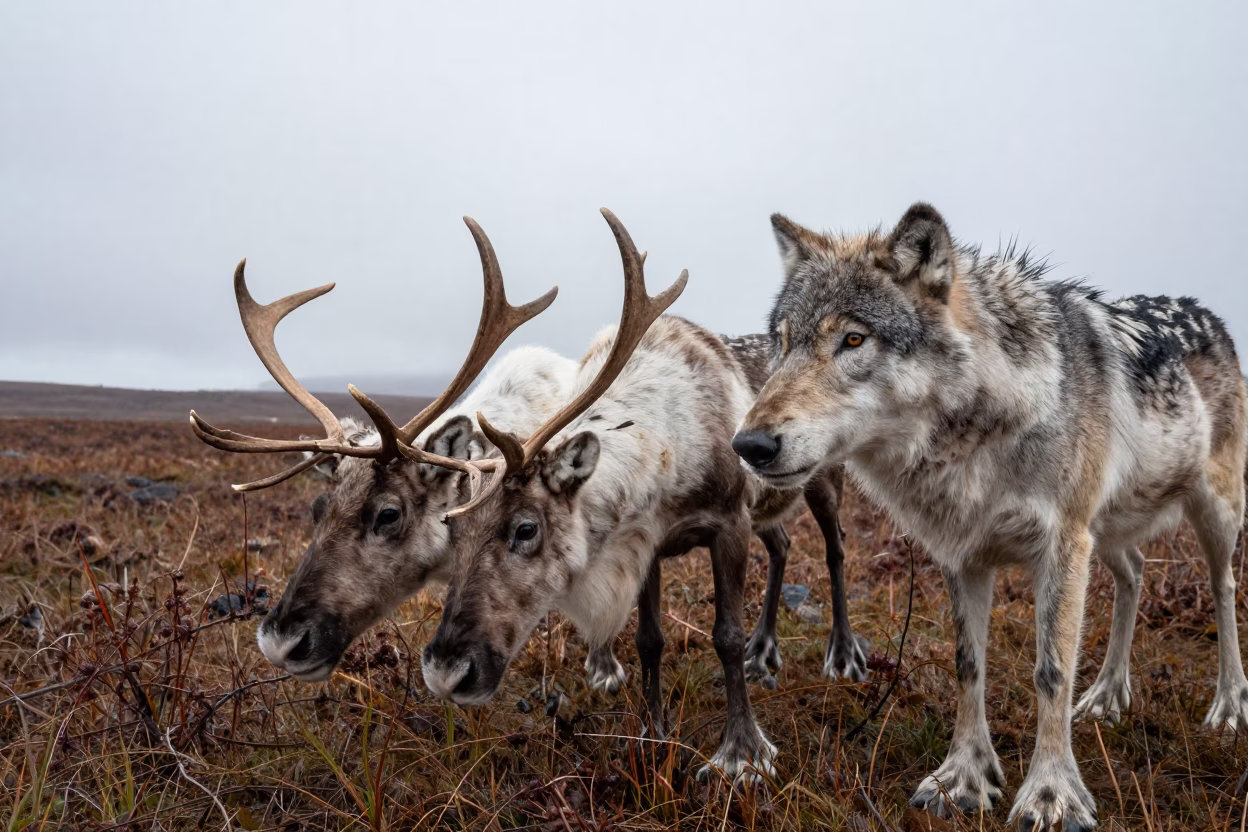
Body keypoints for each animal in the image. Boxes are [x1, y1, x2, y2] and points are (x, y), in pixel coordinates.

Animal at [731, 203, 1246, 830]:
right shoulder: (965, 555)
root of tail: (1209, 314)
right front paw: (964, 778)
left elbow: (1050, 671)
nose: (749, 445)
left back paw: (1228, 705)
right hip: (1107, 534)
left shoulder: (1061, 546)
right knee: (1136, 574)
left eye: (853, 339)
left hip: (1210, 515)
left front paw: (1051, 795)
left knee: (1222, 589)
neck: (975, 438)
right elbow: (968, 666)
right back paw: (1106, 695)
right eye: (781, 343)